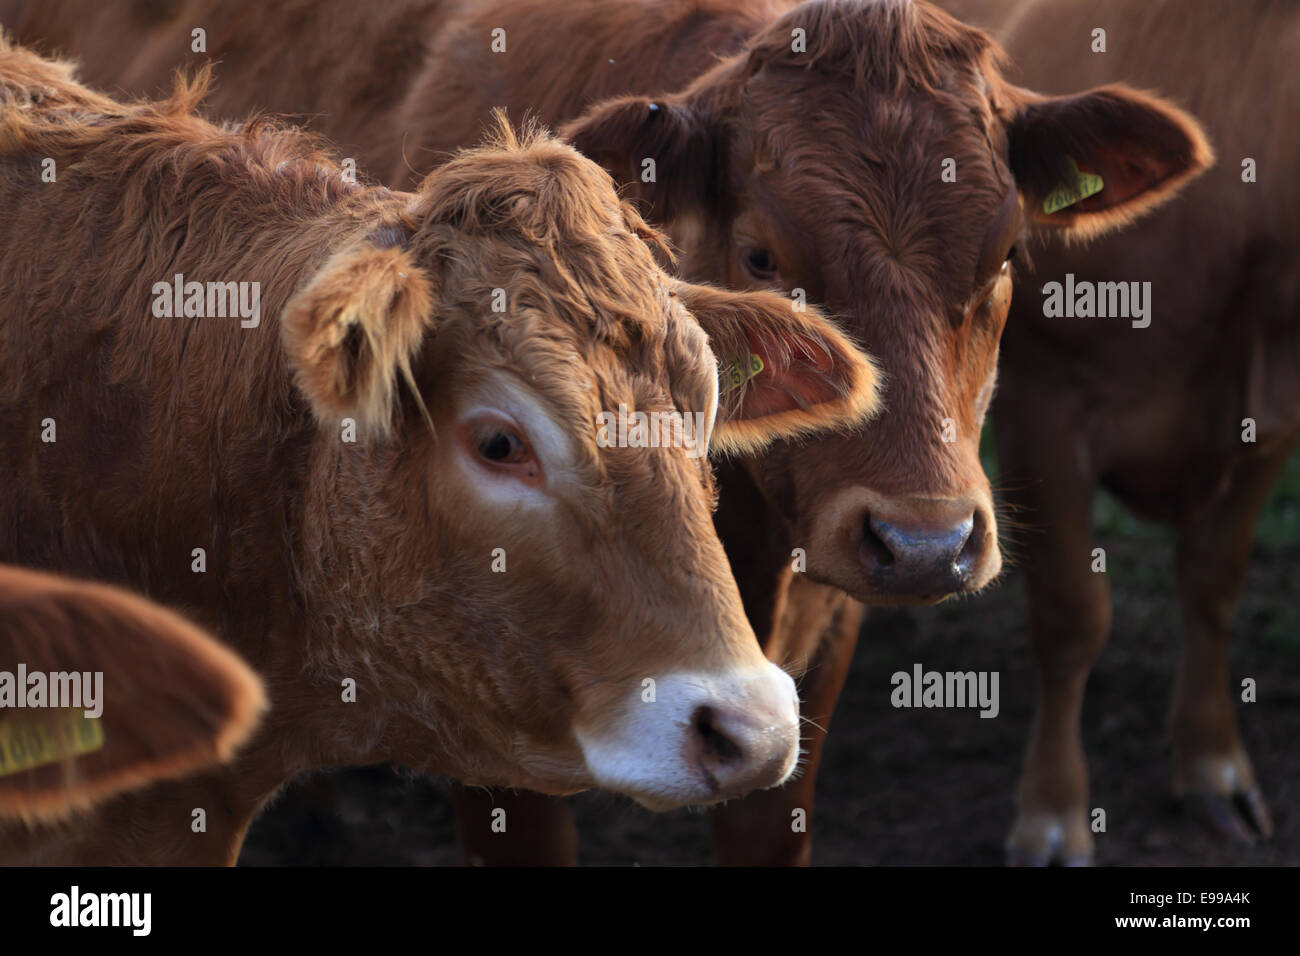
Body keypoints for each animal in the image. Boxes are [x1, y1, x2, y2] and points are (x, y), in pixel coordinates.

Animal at [935, 0, 1300, 868]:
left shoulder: (1273, 410)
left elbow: (1213, 579)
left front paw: (1212, 763)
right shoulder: (1044, 399)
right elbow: (1072, 614)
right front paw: (1053, 812)